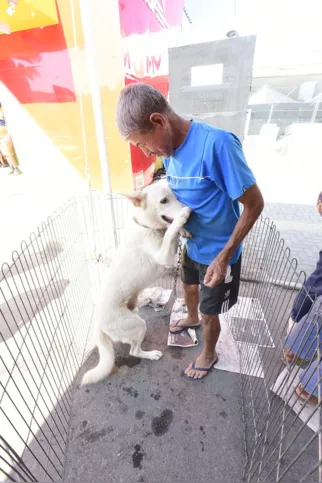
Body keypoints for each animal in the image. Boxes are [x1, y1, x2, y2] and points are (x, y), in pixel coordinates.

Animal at [82, 181, 190, 386]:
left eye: (176, 194)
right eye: (163, 201)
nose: (193, 210)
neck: (147, 226)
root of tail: (97, 324)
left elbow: (172, 234)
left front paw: (184, 230)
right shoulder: (164, 257)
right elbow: (170, 233)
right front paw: (181, 219)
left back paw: (143, 303)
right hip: (138, 325)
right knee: (134, 351)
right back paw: (151, 354)